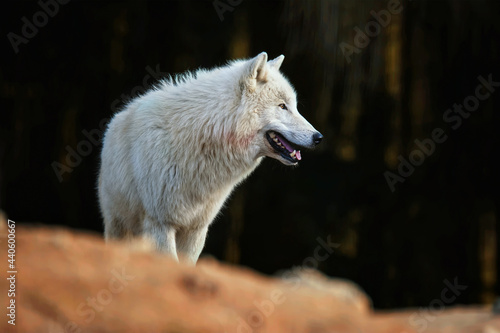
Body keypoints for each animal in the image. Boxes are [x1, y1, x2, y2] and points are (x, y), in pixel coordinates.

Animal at [97, 52, 322, 264]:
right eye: (282, 106)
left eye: (294, 106)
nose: (318, 137)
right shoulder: (160, 224)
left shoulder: (197, 228)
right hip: (118, 224)